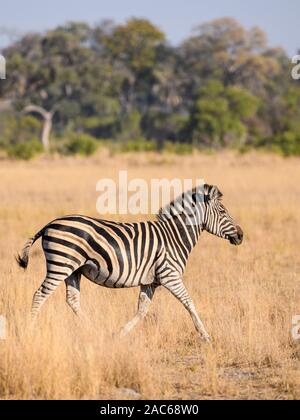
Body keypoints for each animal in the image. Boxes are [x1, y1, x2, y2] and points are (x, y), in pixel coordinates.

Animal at [17, 183, 244, 342]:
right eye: (222, 212)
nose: (241, 236)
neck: (174, 236)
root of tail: (49, 224)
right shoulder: (170, 275)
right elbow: (189, 302)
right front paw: (205, 335)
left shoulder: (150, 281)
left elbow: (142, 310)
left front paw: (119, 334)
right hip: (61, 265)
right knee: (39, 295)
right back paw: (29, 331)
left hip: (73, 270)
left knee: (72, 300)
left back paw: (94, 331)